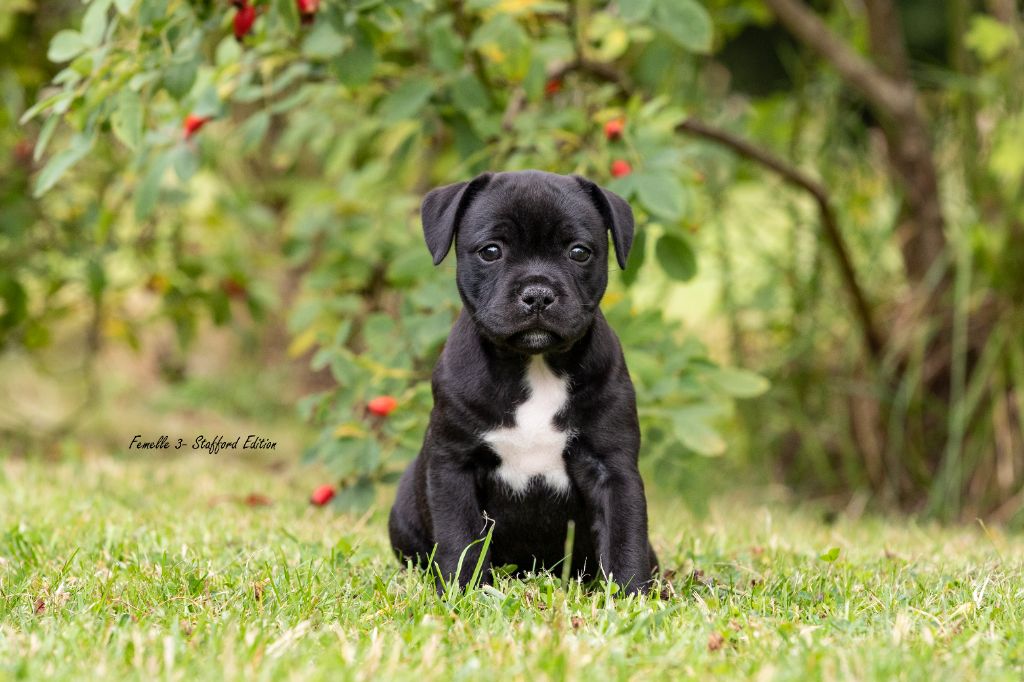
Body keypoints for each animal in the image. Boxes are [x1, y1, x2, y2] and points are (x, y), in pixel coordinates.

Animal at [387, 168, 659, 589]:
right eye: (490, 251)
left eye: (579, 252)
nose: (538, 293)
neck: (535, 365)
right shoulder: (453, 465)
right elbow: (460, 539)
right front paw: (464, 593)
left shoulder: (613, 468)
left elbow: (624, 538)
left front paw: (630, 595)